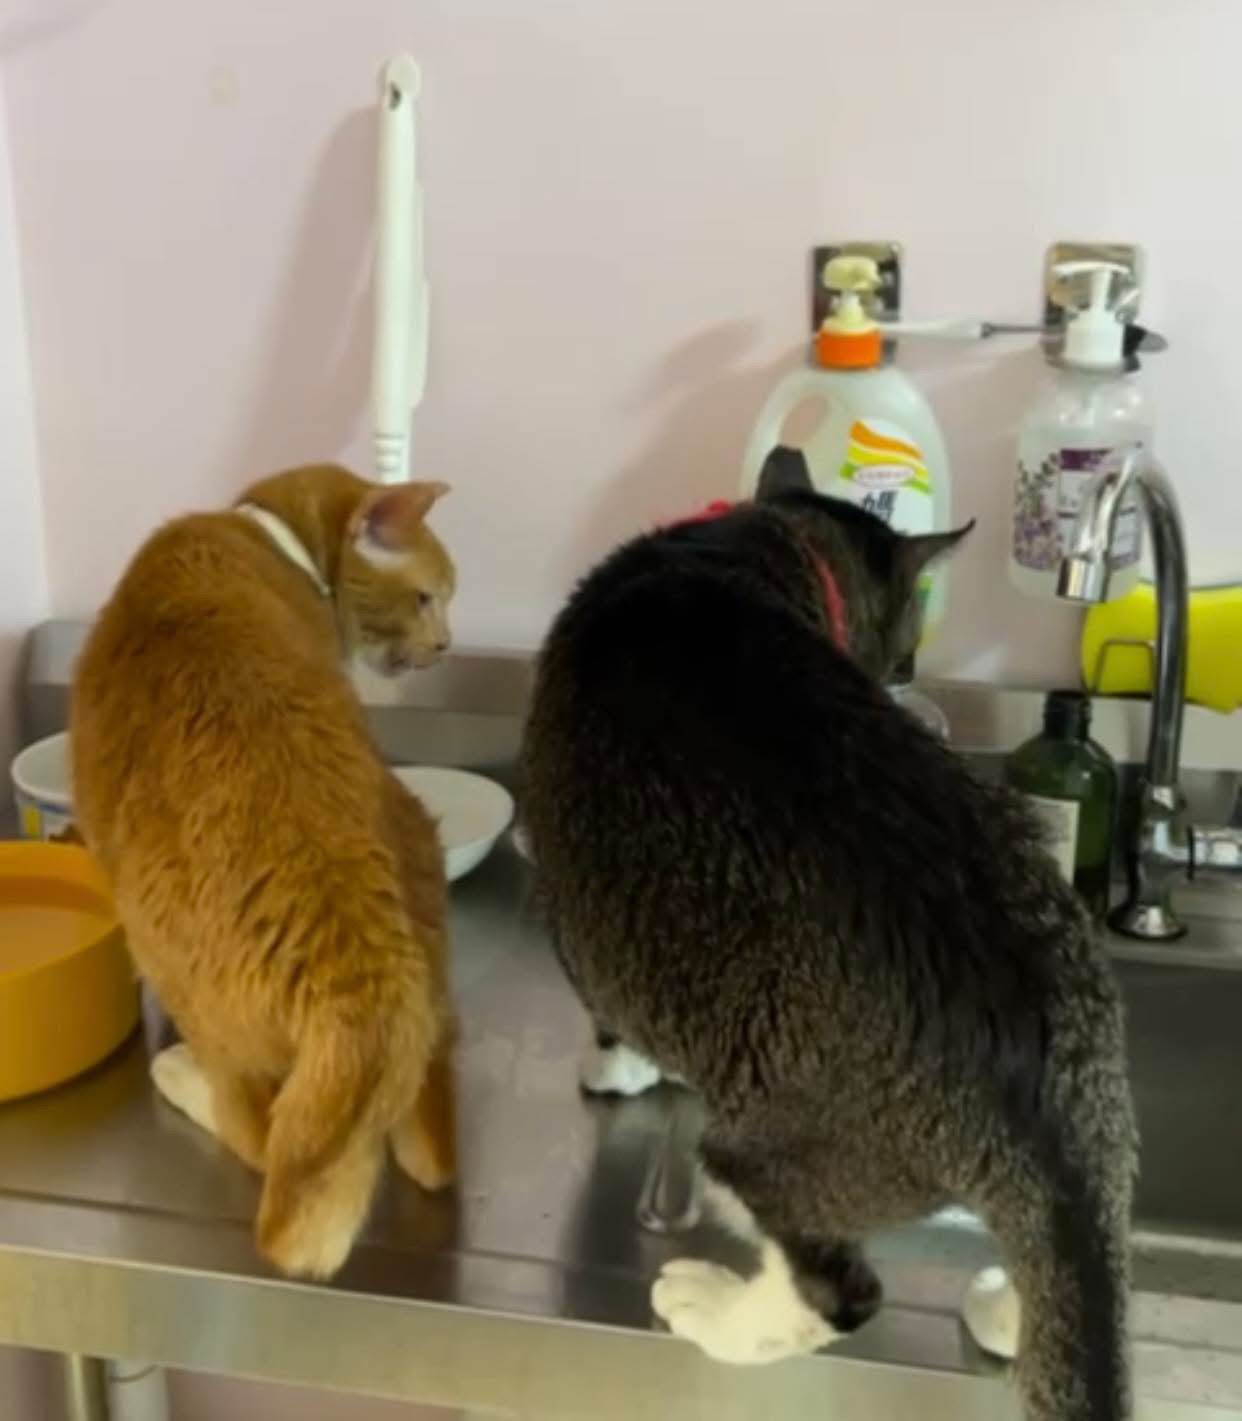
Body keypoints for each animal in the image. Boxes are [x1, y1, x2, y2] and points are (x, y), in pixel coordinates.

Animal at [72, 463, 458, 1280]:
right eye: (425, 597)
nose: (447, 644)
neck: (263, 535)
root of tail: (363, 975)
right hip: (421, 867)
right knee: (431, 1152)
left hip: (169, 960)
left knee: (255, 1133)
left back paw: (181, 1078)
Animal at [520, 447, 1136, 1421]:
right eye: (908, 648)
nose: (904, 677)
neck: (750, 547)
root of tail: (1047, 1086)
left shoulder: (577, 913)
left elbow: (610, 1017)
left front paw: (622, 1068)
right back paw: (1011, 1308)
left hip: (757, 1146)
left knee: (841, 1290)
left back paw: (713, 1308)